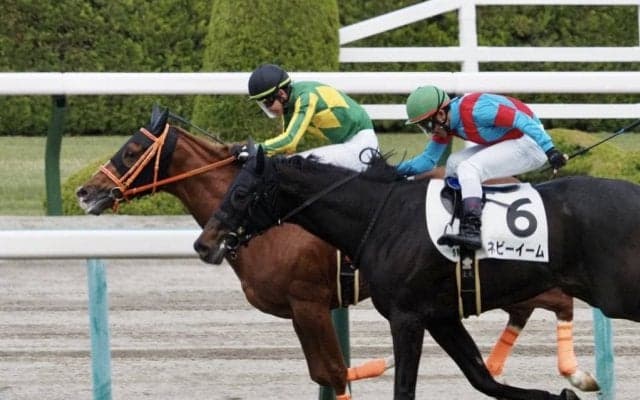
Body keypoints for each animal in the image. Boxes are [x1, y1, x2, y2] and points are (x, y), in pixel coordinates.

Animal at [75, 106, 594, 398]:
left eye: (129, 152)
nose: (85, 192)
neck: (279, 218)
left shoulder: (308, 303)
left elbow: (331, 373)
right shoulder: (311, 308)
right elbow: (330, 373)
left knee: (558, 301)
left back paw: (577, 375)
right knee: (537, 307)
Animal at [196, 147, 640, 399]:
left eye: (239, 193)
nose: (204, 243)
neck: (383, 217)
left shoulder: (406, 316)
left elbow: (404, 387)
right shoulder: (440, 315)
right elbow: (482, 379)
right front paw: (559, 395)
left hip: (618, 294)